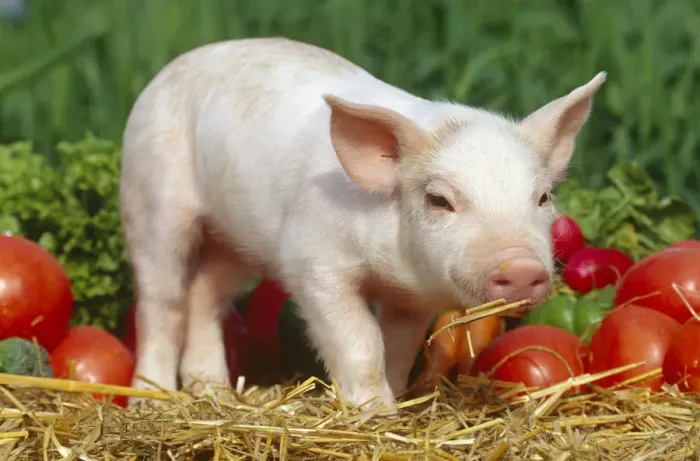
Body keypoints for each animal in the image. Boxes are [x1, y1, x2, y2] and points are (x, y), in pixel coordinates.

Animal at [119, 36, 606, 413]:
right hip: (151, 200)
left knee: (205, 294)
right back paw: (148, 400)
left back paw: (213, 391)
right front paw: (376, 414)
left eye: (543, 197)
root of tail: (171, 69)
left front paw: (394, 404)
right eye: (439, 200)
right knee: (162, 303)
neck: (392, 272)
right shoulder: (311, 264)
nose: (521, 266)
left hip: (236, 241)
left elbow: (399, 347)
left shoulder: (412, 301)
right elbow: (361, 340)